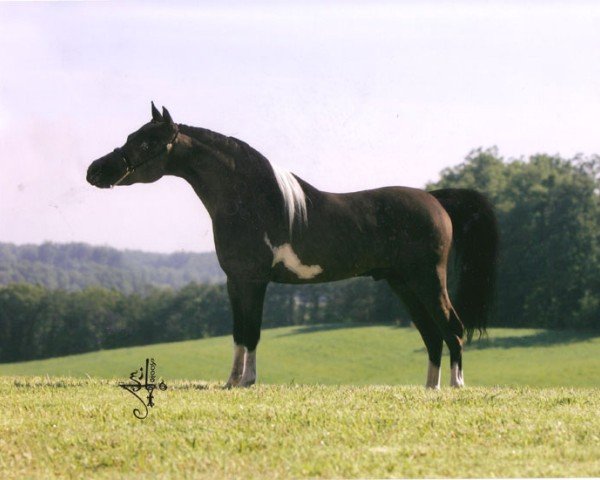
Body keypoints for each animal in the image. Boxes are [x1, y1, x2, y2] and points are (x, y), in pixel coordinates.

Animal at [84, 103, 496, 388]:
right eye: (132, 136)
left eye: (148, 142)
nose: (95, 171)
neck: (253, 201)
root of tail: (435, 200)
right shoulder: (236, 281)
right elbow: (239, 331)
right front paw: (231, 381)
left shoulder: (255, 281)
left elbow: (252, 331)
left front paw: (247, 382)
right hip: (403, 284)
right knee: (432, 335)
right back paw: (430, 389)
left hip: (427, 280)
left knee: (452, 327)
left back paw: (456, 387)